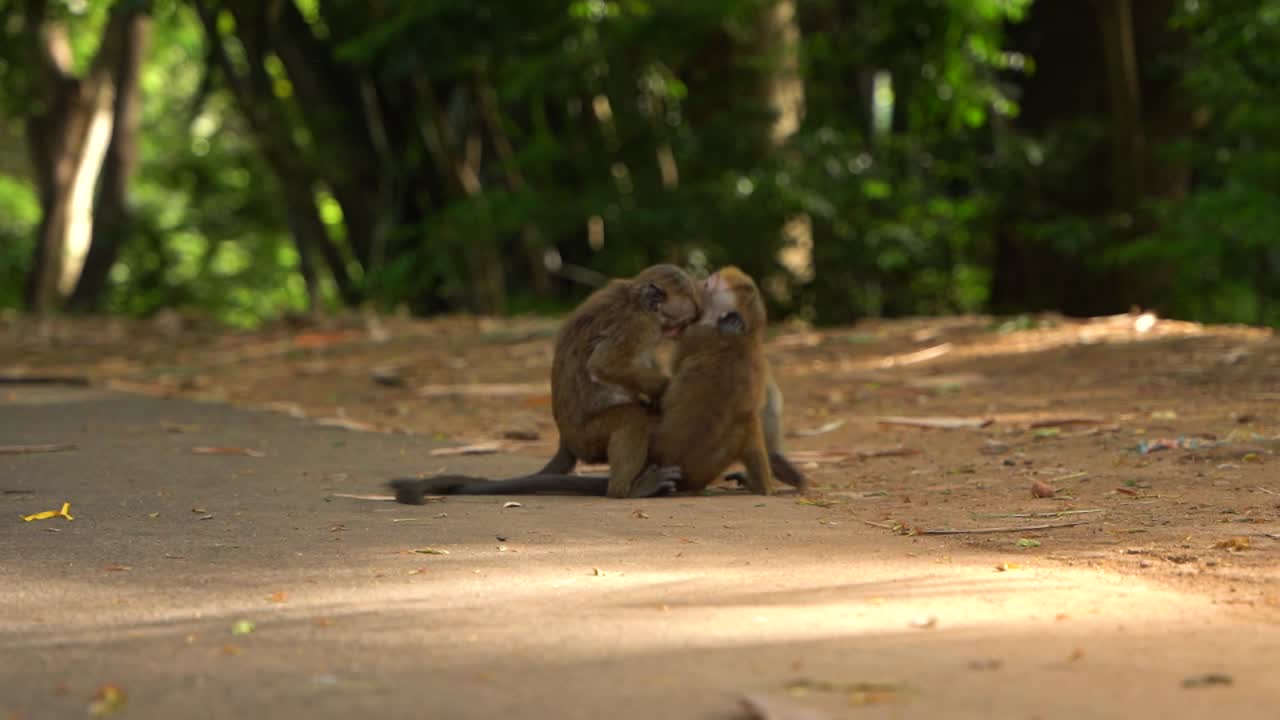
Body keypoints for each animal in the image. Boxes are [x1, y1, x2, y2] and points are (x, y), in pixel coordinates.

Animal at [393, 266, 797, 498]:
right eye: (675, 324)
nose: (675, 332)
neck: (634, 296)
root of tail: (566, 439)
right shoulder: (639, 325)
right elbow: (606, 363)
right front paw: (661, 391)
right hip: (591, 438)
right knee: (631, 419)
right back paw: (626, 491)